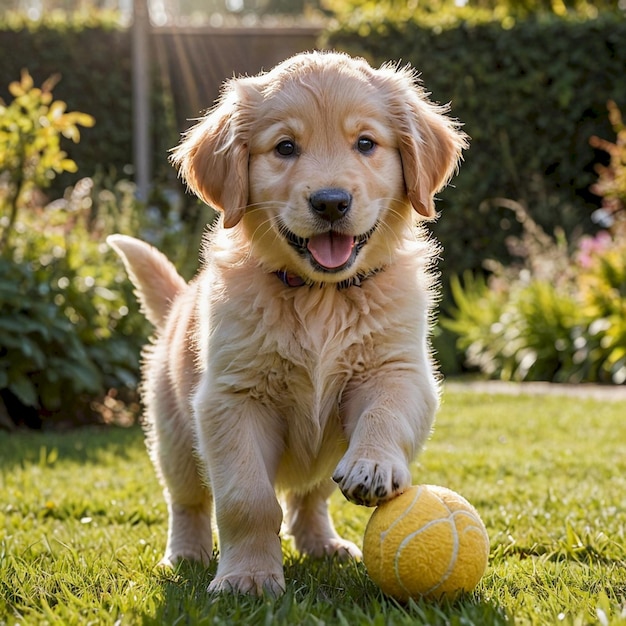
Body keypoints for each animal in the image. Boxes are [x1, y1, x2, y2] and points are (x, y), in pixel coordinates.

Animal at [107, 48, 466, 596]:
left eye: (366, 143)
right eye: (285, 147)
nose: (331, 202)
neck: (320, 296)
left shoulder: (399, 369)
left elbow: (386, 412)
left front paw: (374, 464)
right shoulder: (230, 398)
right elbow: (246, 499)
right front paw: (249, 578)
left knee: (310, 494)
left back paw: (322, 543)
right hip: (172, 435)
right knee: (187, 499)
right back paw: (186, 554)